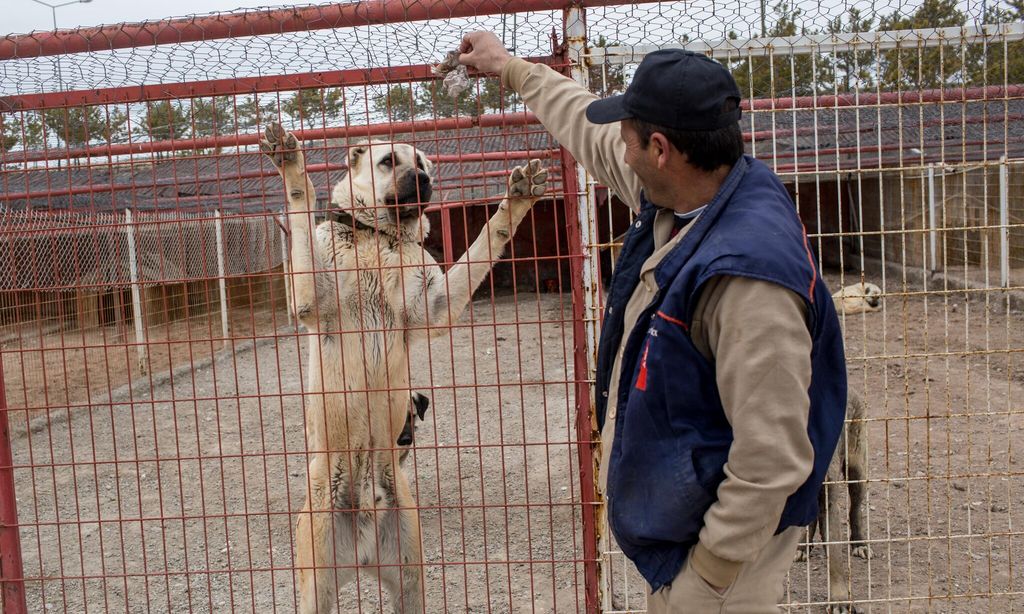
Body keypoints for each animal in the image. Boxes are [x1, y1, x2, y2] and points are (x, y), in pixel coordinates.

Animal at [264, 121, 548, 614]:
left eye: (424, 164)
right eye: (388, 161)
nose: (424, 180)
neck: (381, 239)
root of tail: (362, 533)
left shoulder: (437, 305)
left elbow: (482, 245)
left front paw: (515, 203)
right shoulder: (308, 296)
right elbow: (301, 209)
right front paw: (293, 169)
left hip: (411, 575)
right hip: (315, 581)